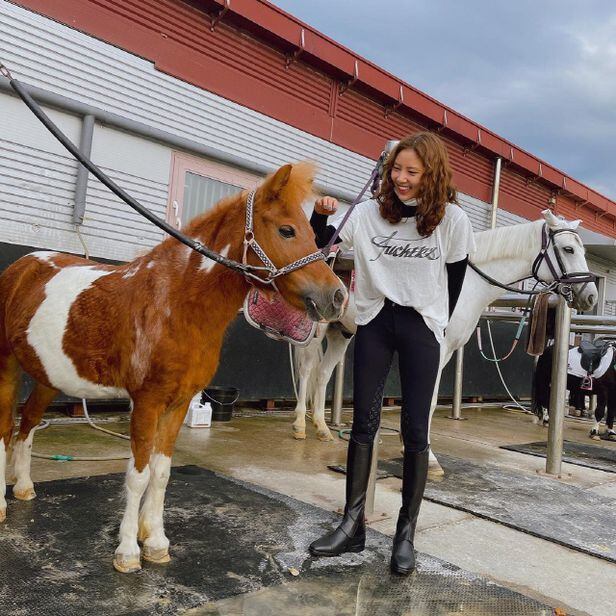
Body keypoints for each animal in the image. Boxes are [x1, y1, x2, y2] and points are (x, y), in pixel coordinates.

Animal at [0, 162, 346, 572]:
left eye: (312, 232)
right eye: (287, 230)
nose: (336, 297)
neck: (175, 301)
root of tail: (22, 266)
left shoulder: (178, 402)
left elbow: (162, 472)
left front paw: (156, 542)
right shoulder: (146, 401)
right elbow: (138, 474)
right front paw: (128, 552)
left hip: (47, 375)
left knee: (27, 425)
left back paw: (23, 487)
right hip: (6, 364)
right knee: (5, 428)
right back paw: (1, 504)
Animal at [294, 212, 596, 476]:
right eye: (569, 249)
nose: (591, 296)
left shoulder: (444, 352)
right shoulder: (437, 352)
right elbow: (428, 402)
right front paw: (429, 459)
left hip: (340, 333)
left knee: (323, 374)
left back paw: (322, 429)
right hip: (317, 331)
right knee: (307, 370)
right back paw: (299, 426)